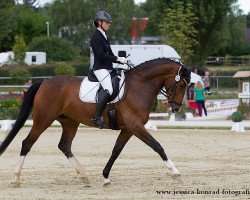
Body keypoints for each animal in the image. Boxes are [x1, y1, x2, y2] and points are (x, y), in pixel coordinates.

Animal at [0, 57, 191, 186]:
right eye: (182, 85)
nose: (176, 107)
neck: (139, 86)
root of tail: (44, 82)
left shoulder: (128, 129)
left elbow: (116, 151)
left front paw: (105, 176)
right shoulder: (135, 126)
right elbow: (157, 145)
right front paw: (174, 170)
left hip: (70, 122)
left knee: (64, 145)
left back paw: (83, 175)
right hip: (43, 119)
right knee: (27, 143)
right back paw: (16, 178)